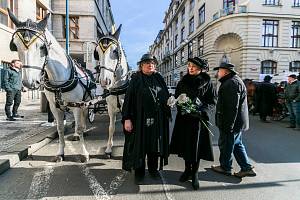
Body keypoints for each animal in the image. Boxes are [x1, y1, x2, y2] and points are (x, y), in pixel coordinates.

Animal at [7, 9, 94, 162]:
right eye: (15, 46)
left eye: (42, 47)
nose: (29, 82)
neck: (59, 81)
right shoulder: (55, 107)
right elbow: (60, 128)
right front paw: (60, 153)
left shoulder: (77, 105)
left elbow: (79, 127)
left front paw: (84, 153)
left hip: (85, 103)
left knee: (83, 119)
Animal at [94, 25, 129, 157]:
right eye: (97, 53)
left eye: (115, 51)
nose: (104, 81)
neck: (118, 88)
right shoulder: (110, 108)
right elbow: (111, 127)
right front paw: (109, 148)